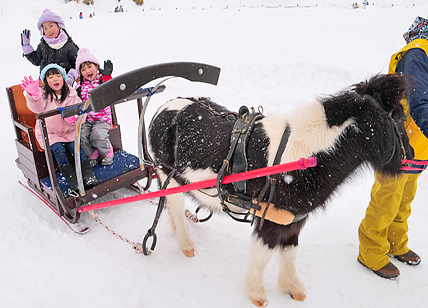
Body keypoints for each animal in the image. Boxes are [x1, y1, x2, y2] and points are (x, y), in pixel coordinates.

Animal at [148, 74, 414, 306]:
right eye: (400, 118)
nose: (412, 157)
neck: (304, 157)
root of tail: (163, 108)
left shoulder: (294, 218)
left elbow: (290, 252)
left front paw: (292, 288)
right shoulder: (271, 218)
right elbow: (263, 255)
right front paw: (257, 294)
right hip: (168, 176)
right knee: (174, 205)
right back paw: (185, 244)